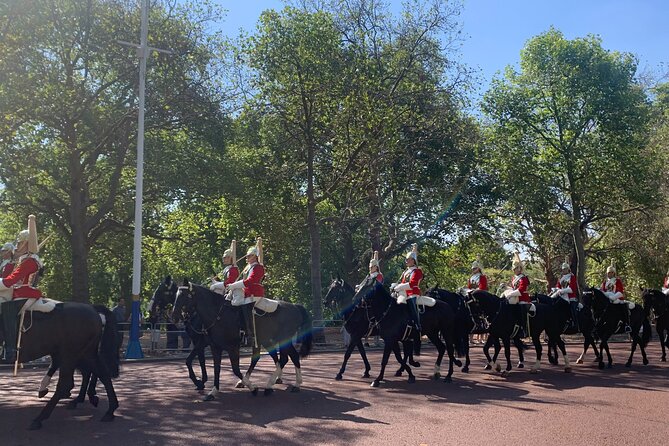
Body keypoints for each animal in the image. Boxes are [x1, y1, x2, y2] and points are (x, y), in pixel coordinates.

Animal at [0, 302, 118, 430]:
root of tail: (91, 308)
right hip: (85, 353)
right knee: (101, 374)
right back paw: (108, 410)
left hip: (71, 353)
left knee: (66, 383)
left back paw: (40, 418)